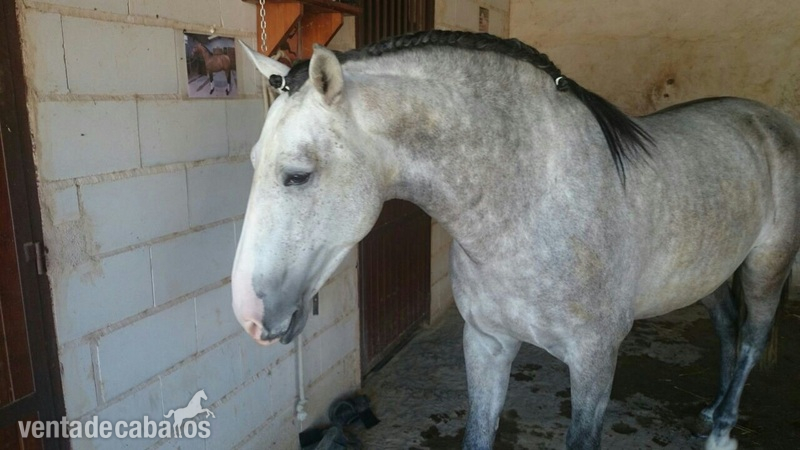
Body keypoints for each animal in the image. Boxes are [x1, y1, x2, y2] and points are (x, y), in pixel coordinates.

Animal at [231, 31, 800, 450]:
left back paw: (723, 431)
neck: (528, 208)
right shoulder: (486, 342)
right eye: (253, 162)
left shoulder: (595, 361)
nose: (248, 314)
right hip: (709, 273)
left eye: (298, 175)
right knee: (727, 327)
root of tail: (769, 120)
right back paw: (710, 411)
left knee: (752, 339)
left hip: (767, 266)